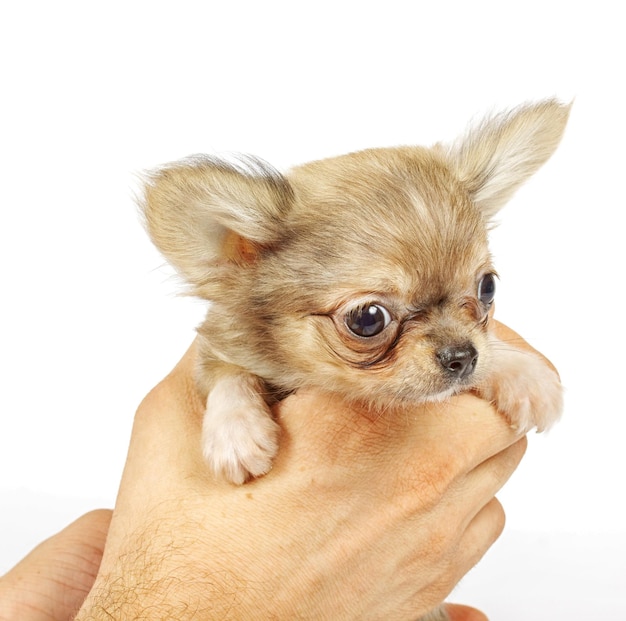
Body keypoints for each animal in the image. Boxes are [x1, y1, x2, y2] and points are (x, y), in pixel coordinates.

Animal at [141, 101, 564, 494]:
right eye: (367, 318)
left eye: (487, 287)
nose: (461, 356)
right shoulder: (220, 344)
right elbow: (228, 376)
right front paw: (235, 432)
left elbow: (492, 346)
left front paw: (522, 373)